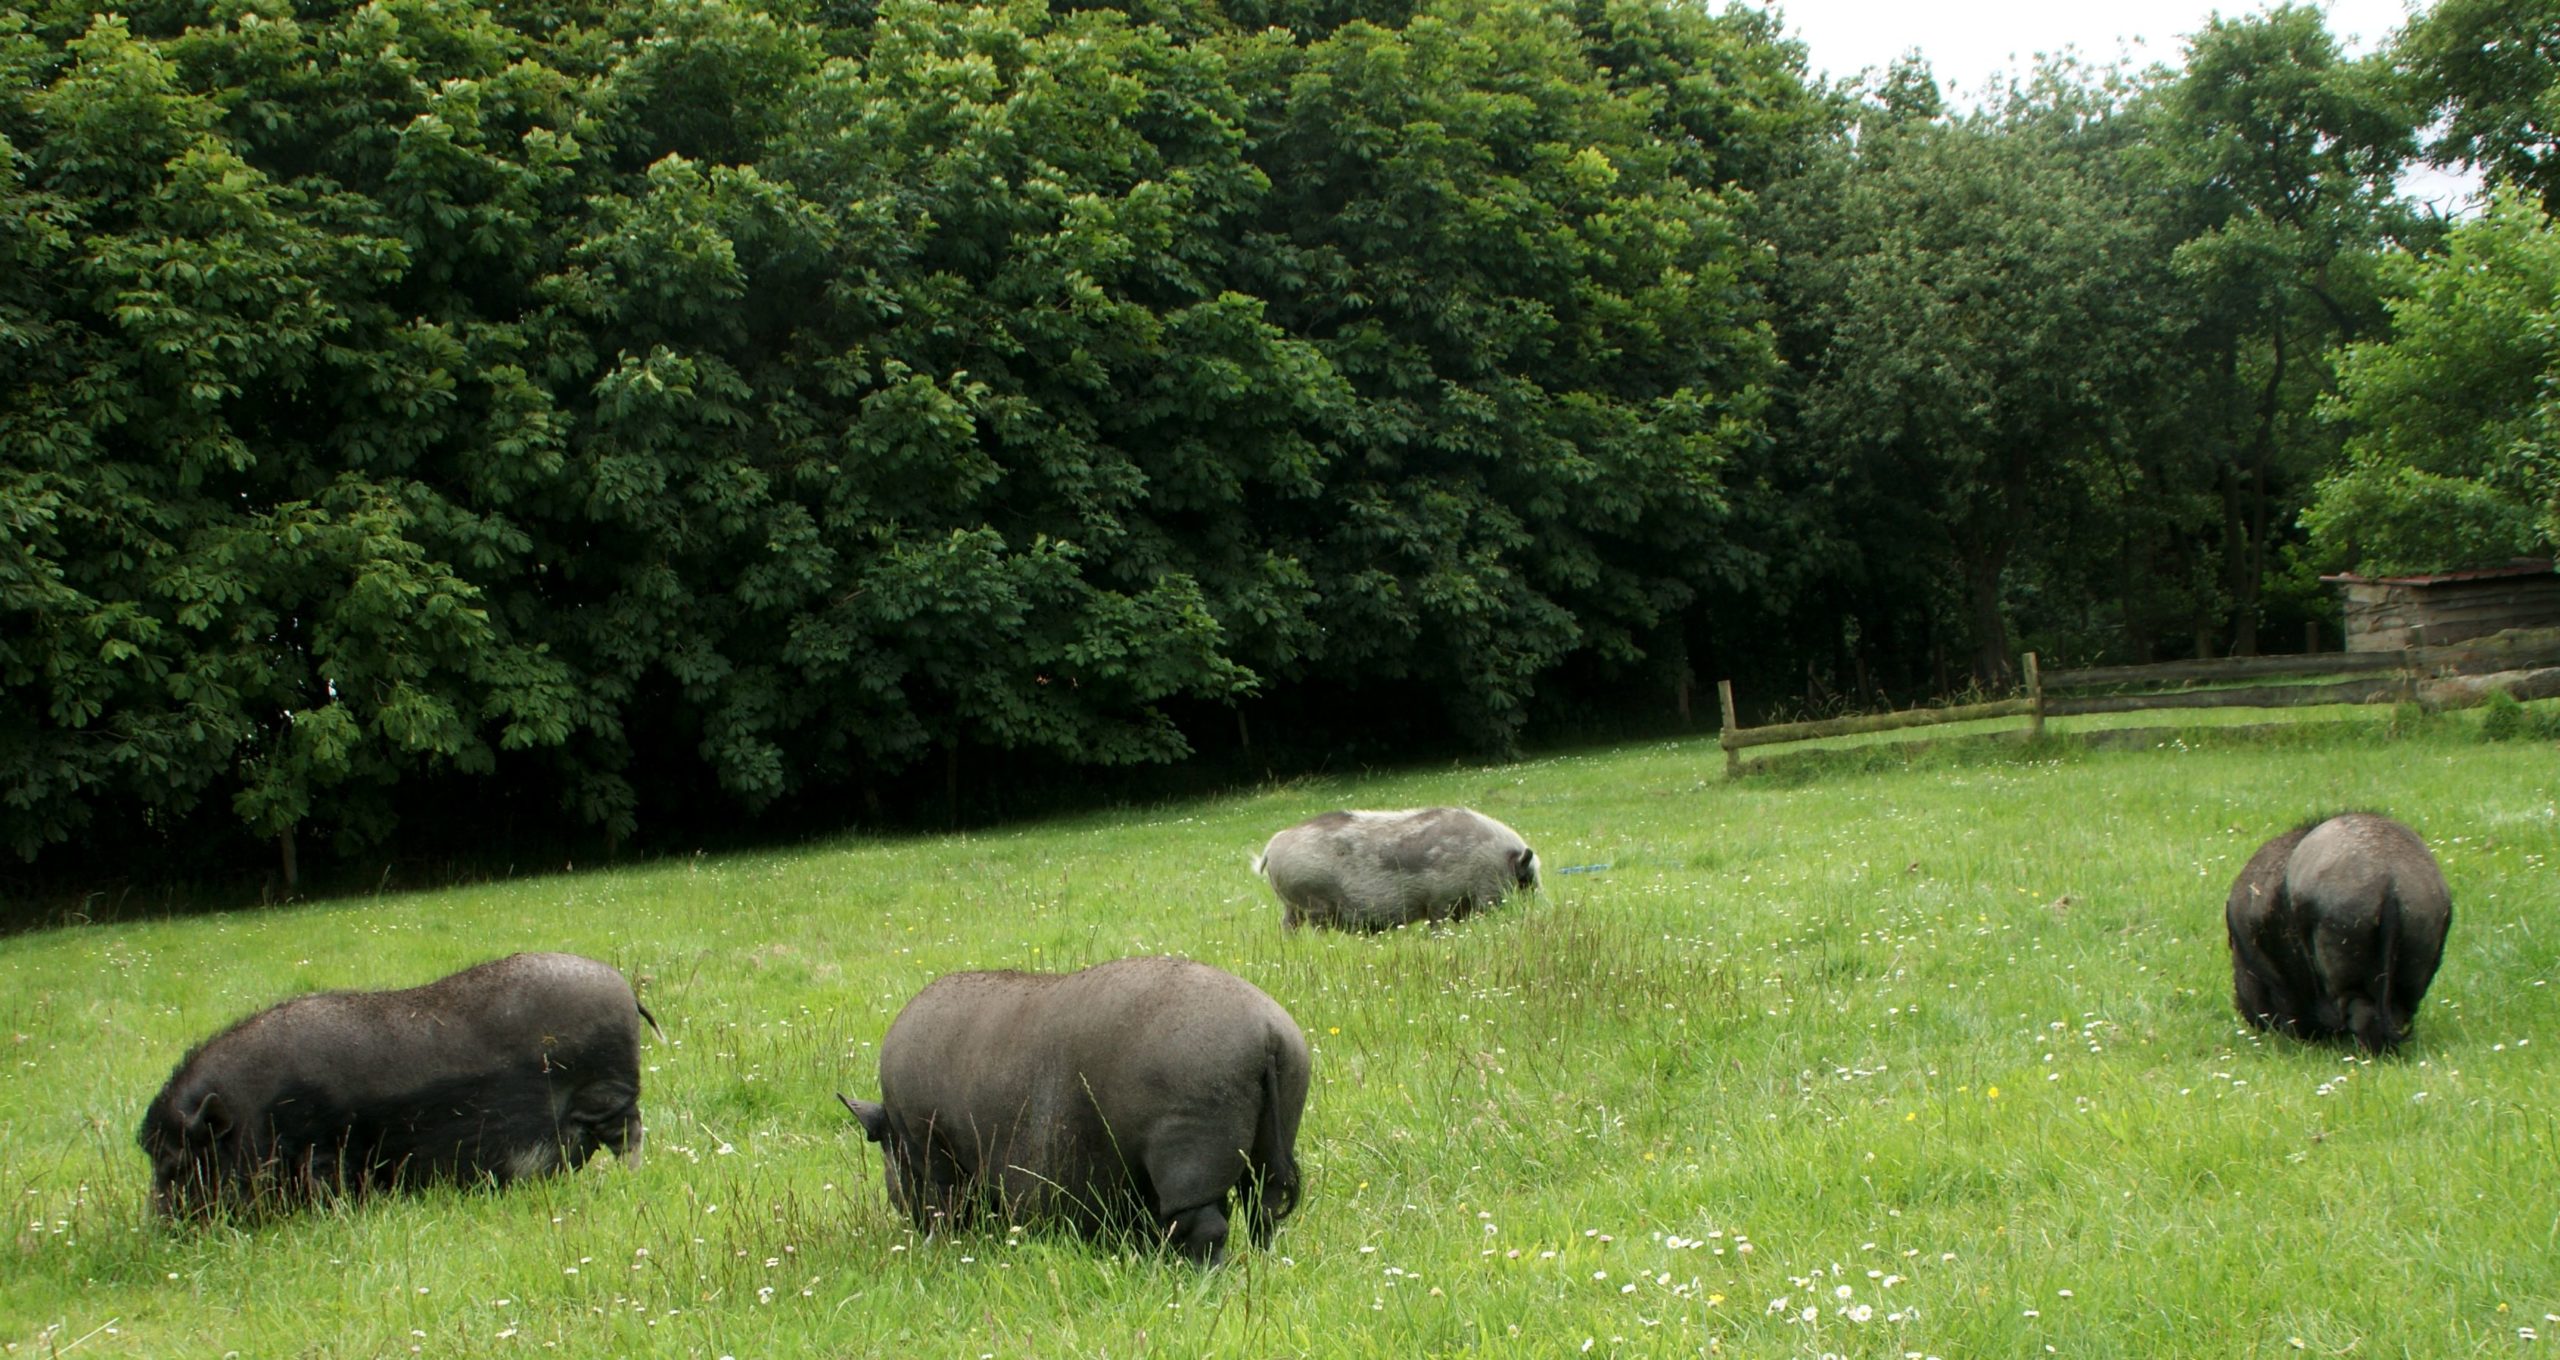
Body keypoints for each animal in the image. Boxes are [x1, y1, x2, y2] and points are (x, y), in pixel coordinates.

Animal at [136, 952, 660, 1219]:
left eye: (176, 1164)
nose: (158, 1230)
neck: (255, 1115)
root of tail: (623, 987)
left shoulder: (325, 1148)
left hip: (608, 1095)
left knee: (630, 1136)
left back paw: (632, 1180)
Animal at [839, 957, 1310, 1265]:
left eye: (886, 1158)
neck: (897, 1127)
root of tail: (1268, 1031)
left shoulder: (931, 1144)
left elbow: (946, 1202)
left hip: (1187, 1148)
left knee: (1207, 1223)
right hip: (1275, 1132)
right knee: (1264, 1211)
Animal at [1249, 809, 1525, 937]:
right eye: (1525, 880)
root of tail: (1272, 846)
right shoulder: (1441, 900)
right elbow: (1438, 923)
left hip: (1291, 905)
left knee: (1287, 926)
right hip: (1313, 902)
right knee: (1315, 928)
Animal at [2232, 814, 2447, 1060]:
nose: (2244, 1013)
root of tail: (2390, 882)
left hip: (2342, 947)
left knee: (2362, 1013)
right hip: (2417, 955)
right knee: (2397, 1011)